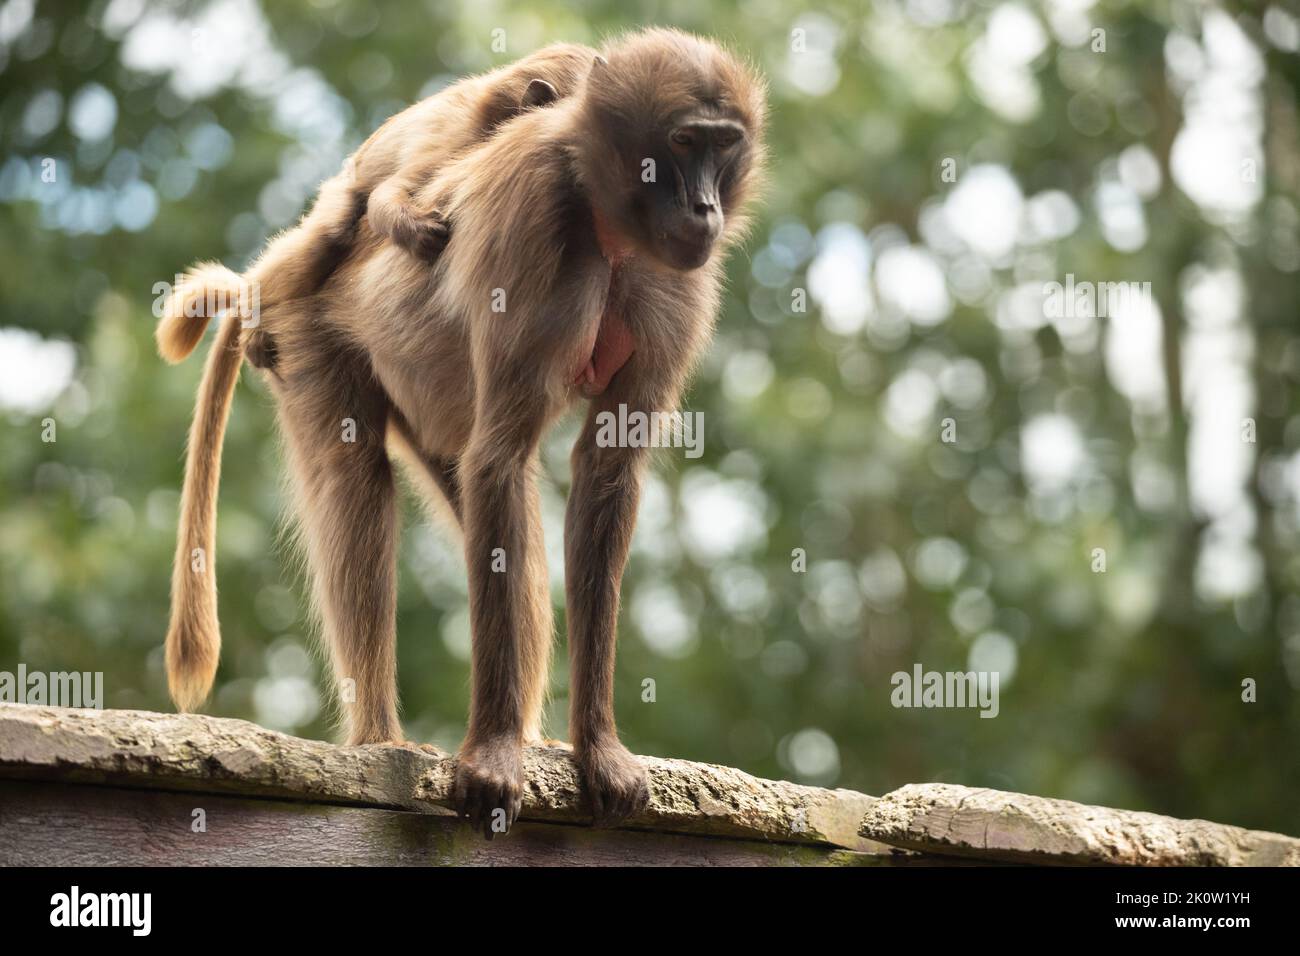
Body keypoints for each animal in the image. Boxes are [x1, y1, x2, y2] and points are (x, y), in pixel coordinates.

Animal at [166, 27, 764, 837]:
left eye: (723, 144)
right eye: (681, 141)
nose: (704, 209)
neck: (605, 225)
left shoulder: (677, 281)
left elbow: (605, 472)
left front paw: (597, 749)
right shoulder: (529, 217)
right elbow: (502, 454)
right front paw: (493, 757)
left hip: (428, 407)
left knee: (494, 509)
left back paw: (533, 738)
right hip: (309, 328)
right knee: (362, 481)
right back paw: (382, 739)